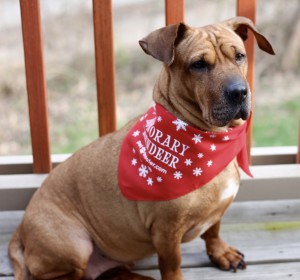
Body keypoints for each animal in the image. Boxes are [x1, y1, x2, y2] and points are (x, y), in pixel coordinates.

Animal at [8, 17, 274, 280]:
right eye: (198, 64)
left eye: (239, 56)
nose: (239, 92)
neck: (209, 139)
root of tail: (21, 228)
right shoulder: (166, 232)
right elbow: (172, 265)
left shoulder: (215, 212)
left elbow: (213, 232)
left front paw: (220, 252)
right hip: (75, 245)